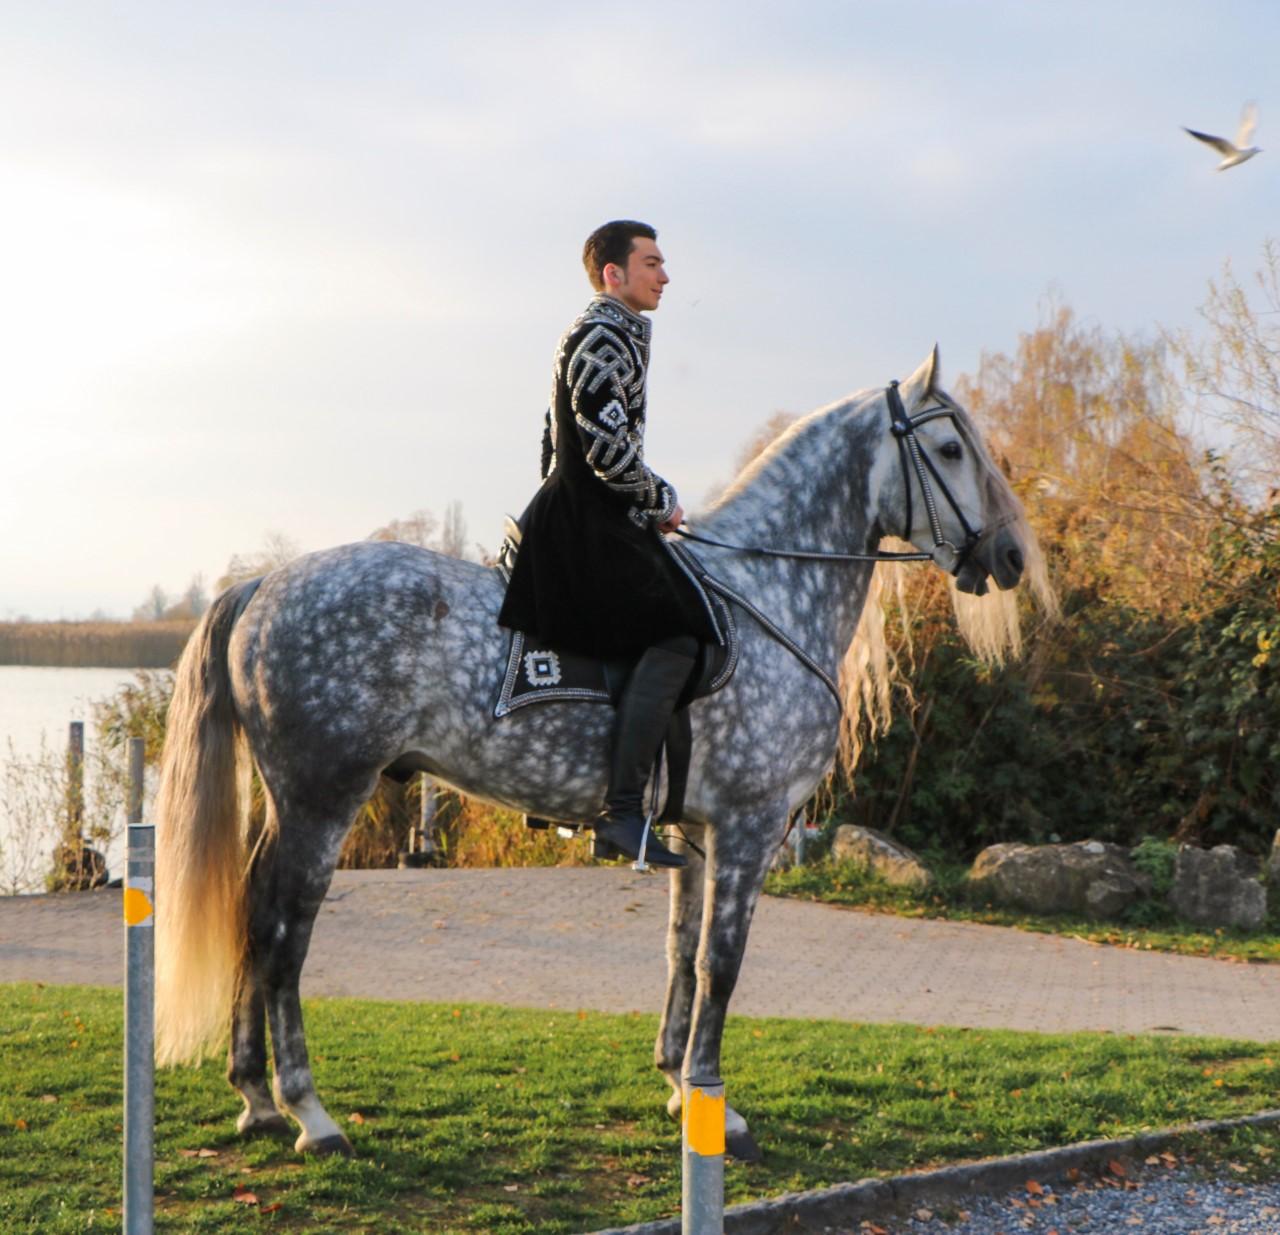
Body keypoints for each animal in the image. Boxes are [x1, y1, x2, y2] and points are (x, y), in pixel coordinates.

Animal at [154, 348, 1044, 1156]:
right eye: (951, 448)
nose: (1010, 557)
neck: (766, 596)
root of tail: (265, 584)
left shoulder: (693, 829)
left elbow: (682, 954)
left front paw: (681, 1086)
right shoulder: (748, 828)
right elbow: (722, 962)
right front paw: (718, 1105)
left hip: (290, 801)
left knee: (252, 916)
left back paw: (255, 1097)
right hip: (323, 800)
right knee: (283, 932)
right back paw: (309, 1111)